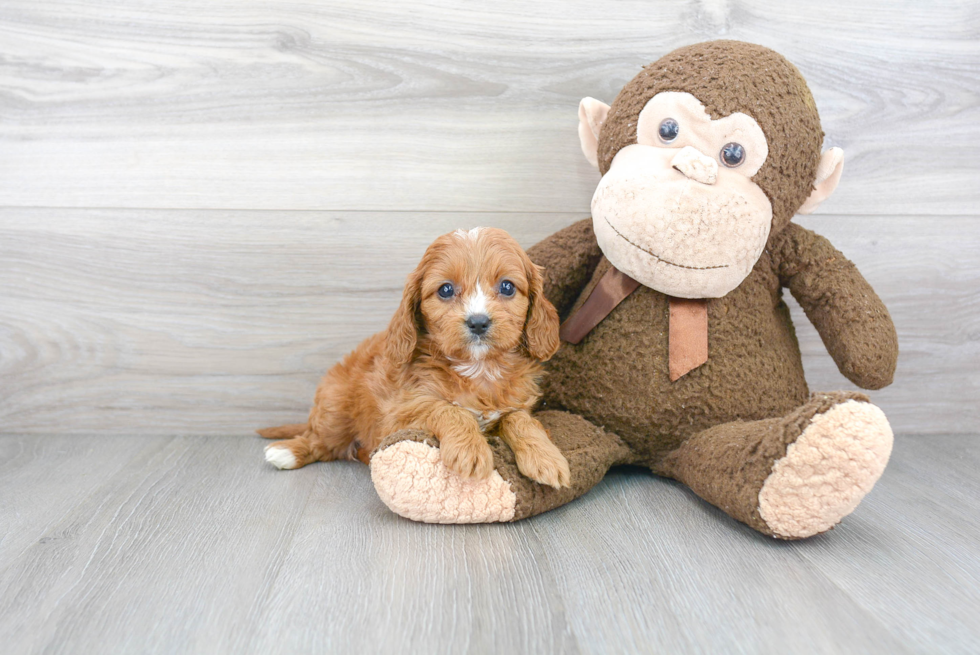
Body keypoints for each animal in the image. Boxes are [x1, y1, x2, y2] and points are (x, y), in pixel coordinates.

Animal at [258, 228, 576, 490]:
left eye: (507, 287)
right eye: (446, 289)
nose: (478, 322)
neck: (479, 369)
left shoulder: (514, 405)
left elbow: (519, 419)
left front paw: (546, 458)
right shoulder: (397, 414)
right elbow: (448, 409)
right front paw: (470, 450)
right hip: (336, 407)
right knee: (322, 442)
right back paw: (287, 451)